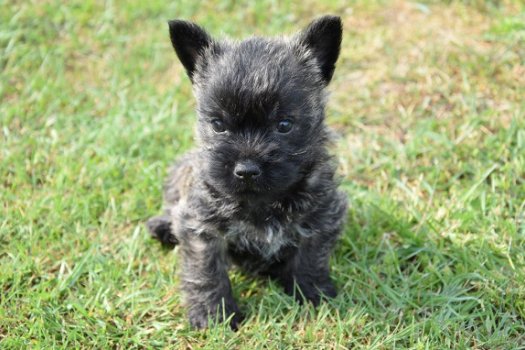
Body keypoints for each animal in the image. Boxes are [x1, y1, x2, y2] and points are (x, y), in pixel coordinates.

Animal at [145, 15, 346, 330]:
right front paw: (213, 315)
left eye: (284, 125)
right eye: (218, 125)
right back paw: (162, 227)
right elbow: (206, 272)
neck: (260, 202)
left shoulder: (321, 216)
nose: (247, 170)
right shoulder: (201, 227)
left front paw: (313, 294)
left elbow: (311, 259)